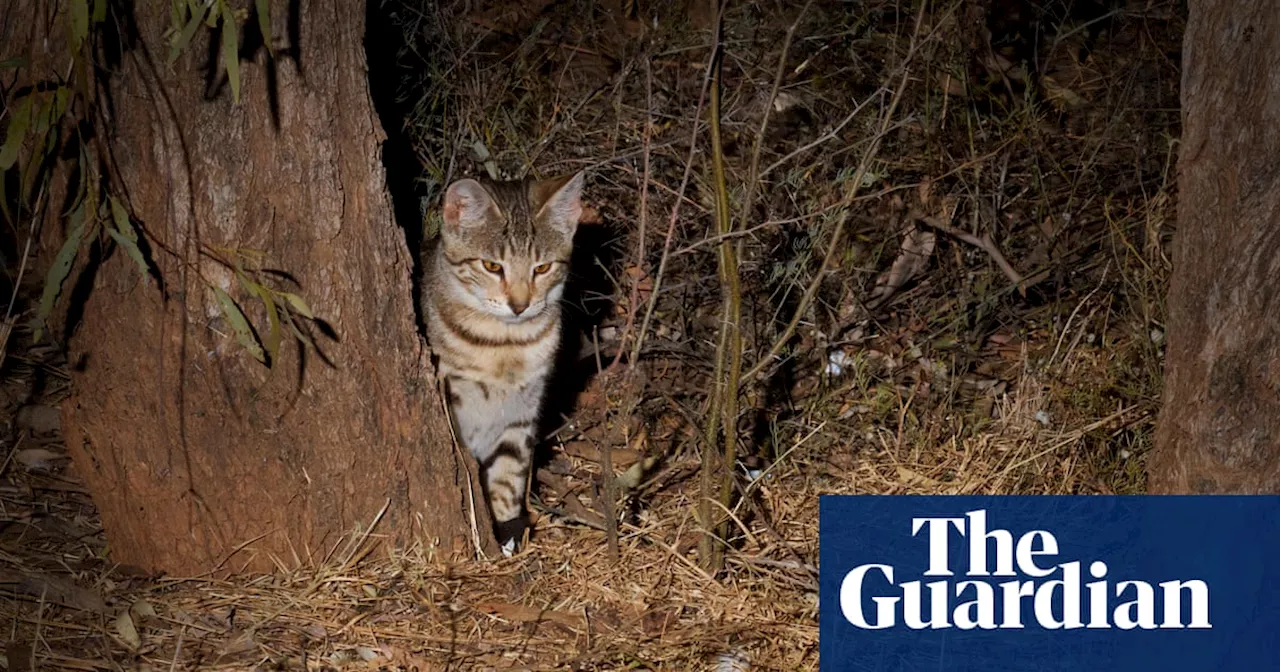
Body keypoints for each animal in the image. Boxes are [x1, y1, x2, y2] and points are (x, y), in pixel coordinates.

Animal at [422, 171, 583, 555]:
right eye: (492, 266)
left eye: (542, 267)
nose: (520, 305)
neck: (504, 346)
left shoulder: (519, 415)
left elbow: (508, 477)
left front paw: (507, 531)